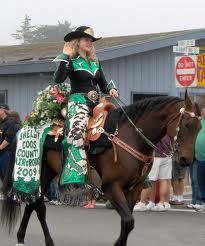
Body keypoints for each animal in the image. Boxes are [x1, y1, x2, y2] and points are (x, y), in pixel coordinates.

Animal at [0, 93, 201, 245]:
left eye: (199, 128)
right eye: (186, 125)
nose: (186, 160)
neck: (131, 136)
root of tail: (28, 125)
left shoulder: (134, 188)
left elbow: (127, 223)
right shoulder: (111, 187)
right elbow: (128, 221)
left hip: (47, 173)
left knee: (33, 204)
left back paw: (21, 238)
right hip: (40, 172)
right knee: (38, 205)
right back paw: (43, 241)